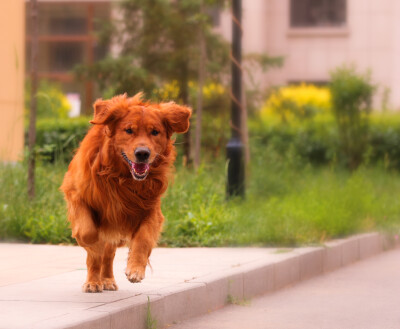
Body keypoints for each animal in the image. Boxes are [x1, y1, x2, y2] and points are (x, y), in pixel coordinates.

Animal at [60, 93, 191, 292]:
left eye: (155, 132)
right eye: (129, 130)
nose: (142, 153)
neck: (121, 178)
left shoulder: (150, 209)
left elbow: (143, 239)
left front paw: (135, 269)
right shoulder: (76, 195)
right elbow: (88, 233)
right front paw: (94, 249)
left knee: (109, 254)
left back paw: (107, 280)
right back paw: (93, 281)